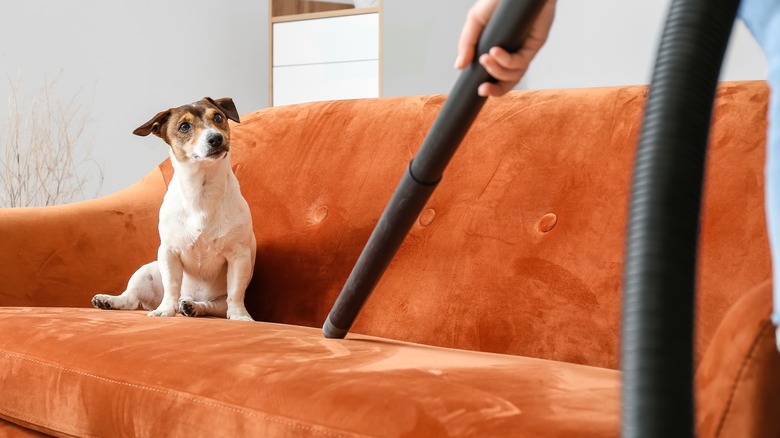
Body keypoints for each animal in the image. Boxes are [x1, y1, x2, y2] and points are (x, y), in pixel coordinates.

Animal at [92, 96, 256, 322]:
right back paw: (110, 300)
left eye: (218, 117)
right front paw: (165, 310)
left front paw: (240, 316)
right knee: (131, 299)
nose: (215, 138)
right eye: (184, 126)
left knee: (212, 305)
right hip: (147, 270)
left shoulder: (239, 256)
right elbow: (171, 285)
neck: (201, 192)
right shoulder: (169, 252)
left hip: (217, 303)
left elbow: (236, 291)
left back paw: (192, 306)